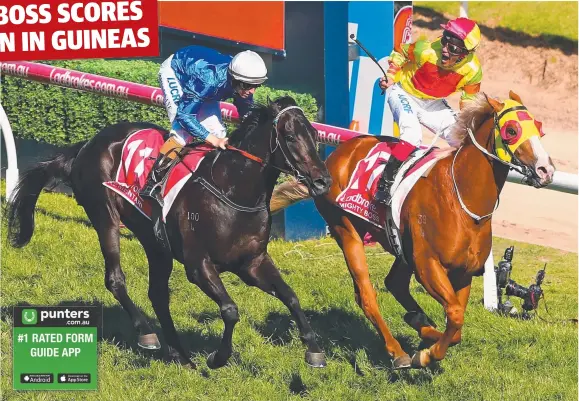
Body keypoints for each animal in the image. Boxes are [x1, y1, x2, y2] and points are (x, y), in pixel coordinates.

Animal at [7, 96, 330, 368]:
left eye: (315, 137)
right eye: (290, 137)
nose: (322, 181)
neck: (231, 190)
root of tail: (88, 144)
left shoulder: (251, 263)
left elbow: (290, 296)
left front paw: (314, 351)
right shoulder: (198, 265)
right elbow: (230, 309)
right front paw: (217, 357)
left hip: (155, 242)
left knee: (158, 294)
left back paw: (179, 354)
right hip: (105, 217)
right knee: (115, 279)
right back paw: (147, 333)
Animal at [274, 91, 556, 368]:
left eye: (539, 128)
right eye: (511, 130)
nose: (546, 170)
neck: (462, 199)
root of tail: (333, 157)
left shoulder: (463, 273)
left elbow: (456, 324)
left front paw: (426, 333)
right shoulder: (427, 265)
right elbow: (455, 315)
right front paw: (425, 354)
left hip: (402, 248)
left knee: (394, 283)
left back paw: (417, 321)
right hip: (346, 230)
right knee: (366, 295)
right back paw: (397, 351)